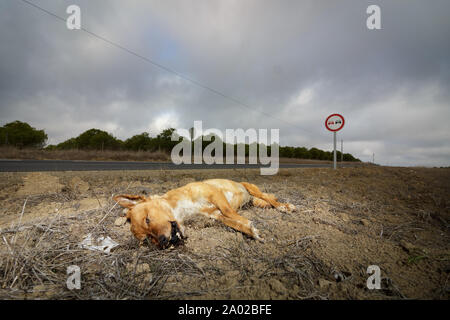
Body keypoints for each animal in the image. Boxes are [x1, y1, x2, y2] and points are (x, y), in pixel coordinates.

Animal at [112, 179, 296, 249]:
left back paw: (285, 206)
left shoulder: (215, 194)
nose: (163, 242)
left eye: (147, 219)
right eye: (148, 240)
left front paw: (249, 224)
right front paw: (250, 230)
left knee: (269, 198)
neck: (183, 210)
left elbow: (232, 213)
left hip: (251, 188)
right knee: (266, 200)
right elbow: (235, 223)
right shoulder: (216, 214)